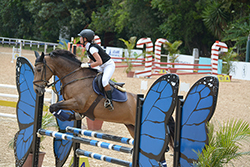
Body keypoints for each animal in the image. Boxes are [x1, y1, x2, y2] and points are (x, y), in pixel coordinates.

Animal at [32, 49, 176, 145]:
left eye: (39, 70)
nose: (37, 90)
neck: (75, 76)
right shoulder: (70, 102)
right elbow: (55, 107)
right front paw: (73, 117)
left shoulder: (77, 102)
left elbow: (53, 106)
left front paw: (65, 117)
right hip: (131, 126)